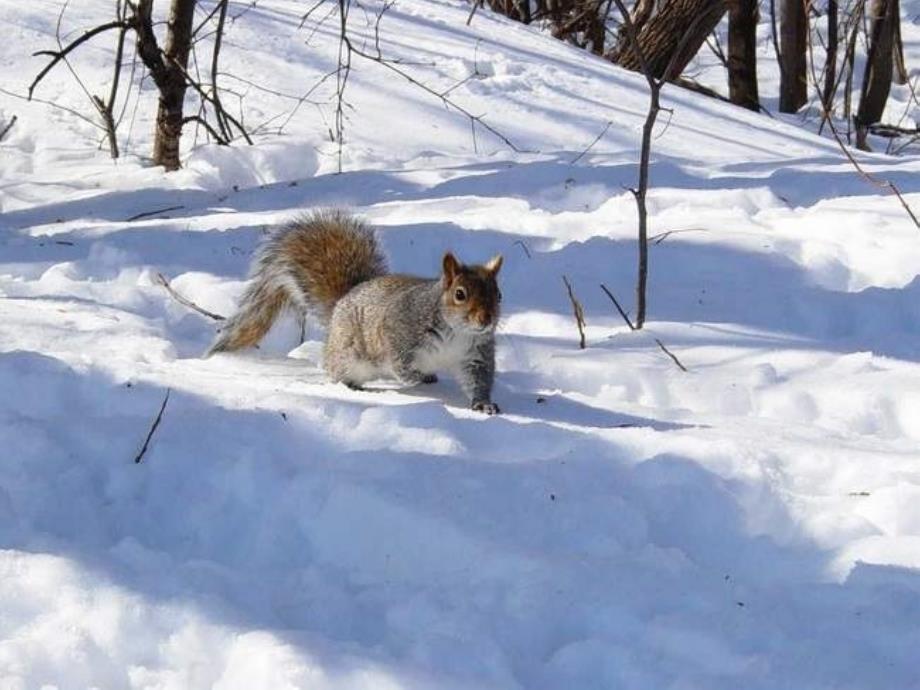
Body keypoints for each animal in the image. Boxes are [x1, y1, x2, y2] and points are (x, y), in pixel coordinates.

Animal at [207, 210, 504, 412]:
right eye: (460, 294)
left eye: (499, 294)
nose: (486, 319)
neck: (458, 331)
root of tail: (343, 300)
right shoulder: (399, 332)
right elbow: (401, 366)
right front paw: (417, 377)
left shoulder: (475, 356)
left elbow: (478, 381)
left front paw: (483, 405)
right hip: (349, 355)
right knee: (336, 372)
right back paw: (356, 387)